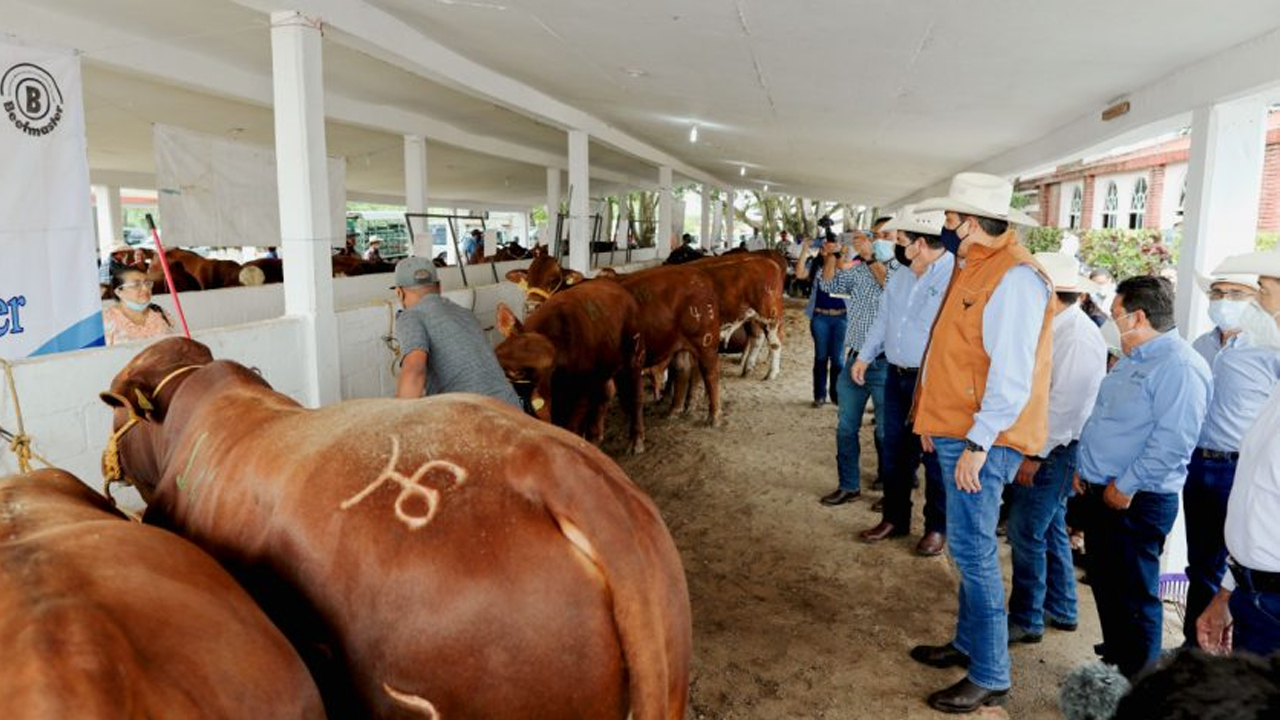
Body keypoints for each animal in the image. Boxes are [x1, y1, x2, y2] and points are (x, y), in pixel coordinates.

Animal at [491, 279, 645, 448]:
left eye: (516, 373)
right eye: (496, 353)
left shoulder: (579, 399)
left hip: (634, 357)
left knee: (636, 395)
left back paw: (637, 439)